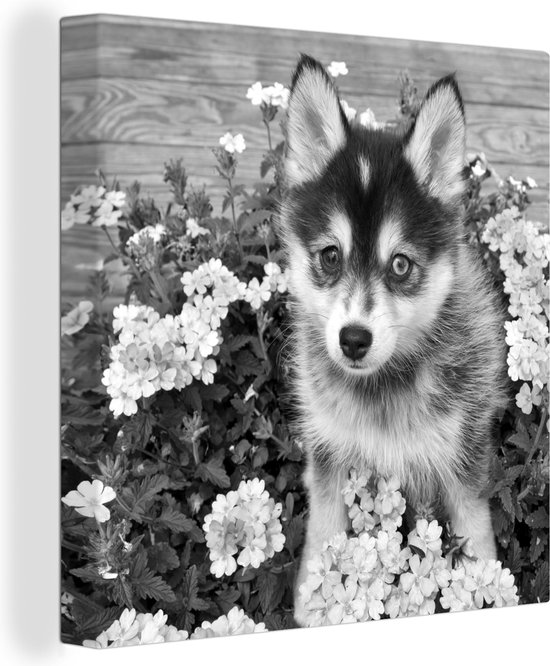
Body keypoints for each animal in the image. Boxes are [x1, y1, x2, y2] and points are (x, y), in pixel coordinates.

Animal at [280, 55, 508, 624]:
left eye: (400, 264)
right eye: (331, 255)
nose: (353, 339)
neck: (383, 390)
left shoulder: (463, 457)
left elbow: (476, 532)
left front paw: (490, 593)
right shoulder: (330, 453)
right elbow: (324, 532)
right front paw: (313, 606)